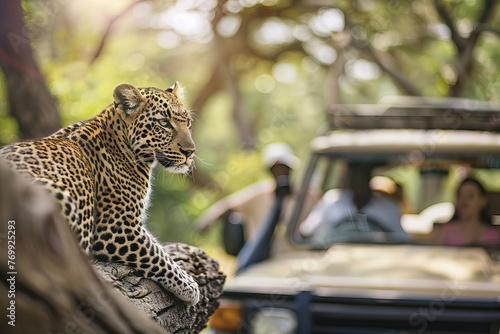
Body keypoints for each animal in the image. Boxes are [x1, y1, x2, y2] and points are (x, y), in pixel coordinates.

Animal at [1, 81, 201, 306]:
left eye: (188, 123)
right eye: (164, 123)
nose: (190, 152)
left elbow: (159, 247)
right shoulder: (116, 228)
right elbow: (157, 254)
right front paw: (190, 286)